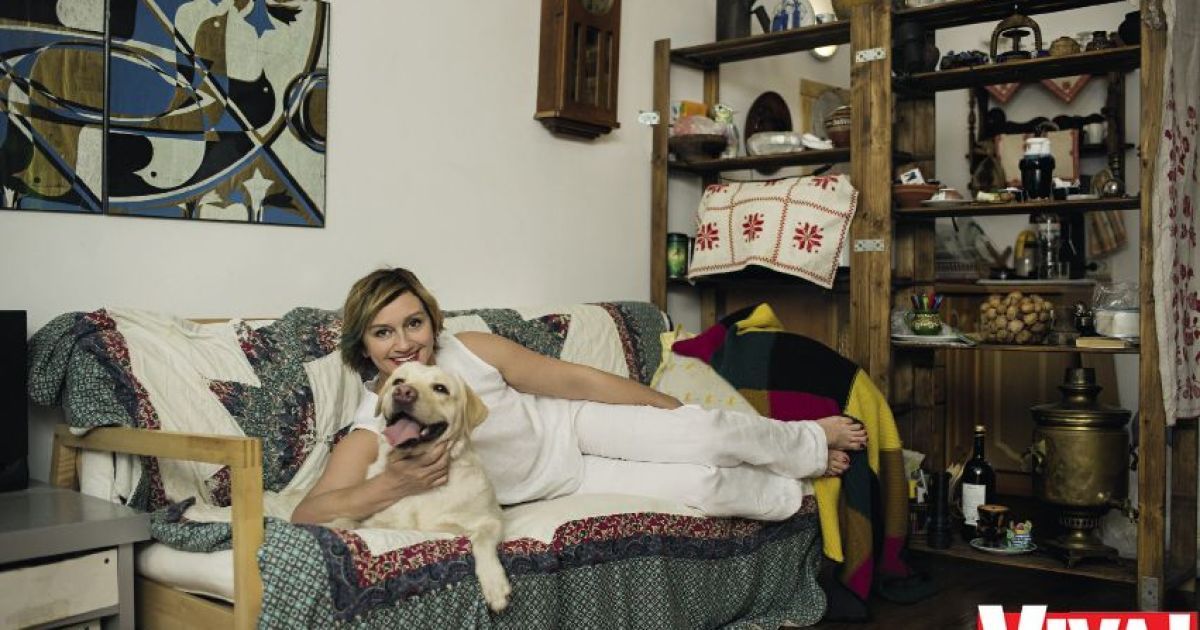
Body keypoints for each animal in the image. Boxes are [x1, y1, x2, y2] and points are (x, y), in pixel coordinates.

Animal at [333, 361, 511, 613]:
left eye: (440, 388)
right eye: (398, 381)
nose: (403, 392)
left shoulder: (492, 520)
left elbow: (481, 539)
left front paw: (494, 584)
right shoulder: (379, 523)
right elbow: (348, 521)